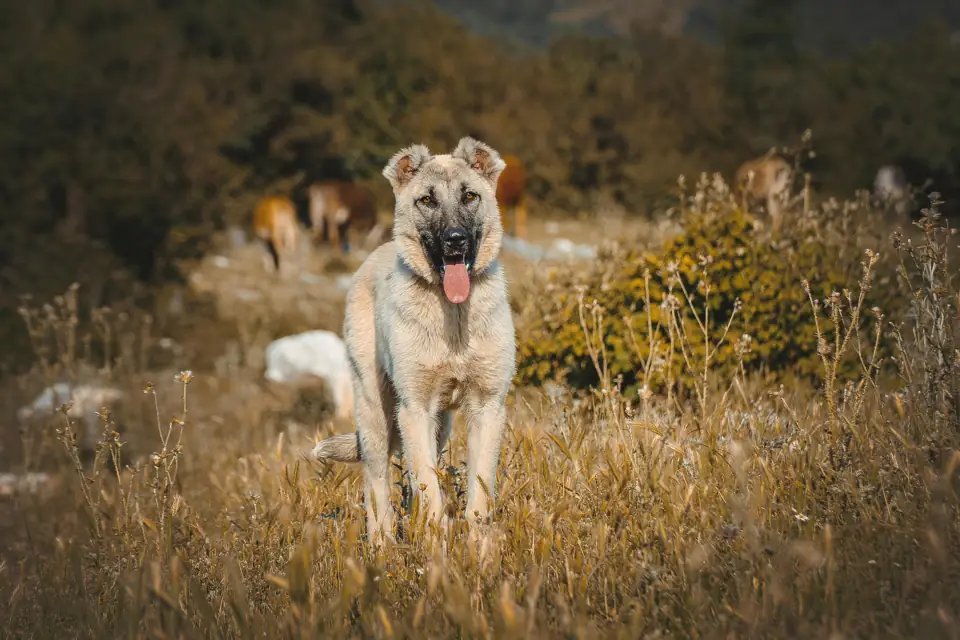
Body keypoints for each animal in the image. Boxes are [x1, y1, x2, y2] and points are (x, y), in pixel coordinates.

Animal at [314, 136, 516, 540]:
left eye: (469, 196)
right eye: (427, 200)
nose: (455, 240)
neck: (453, 316)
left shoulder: (487, 407)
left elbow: (478, 497)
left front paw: (479, 551)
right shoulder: (414, 409)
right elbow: (430, 492)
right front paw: (437, 549)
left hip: (440, 427)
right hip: (375, 414)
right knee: (376, 488)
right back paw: (383, 545)